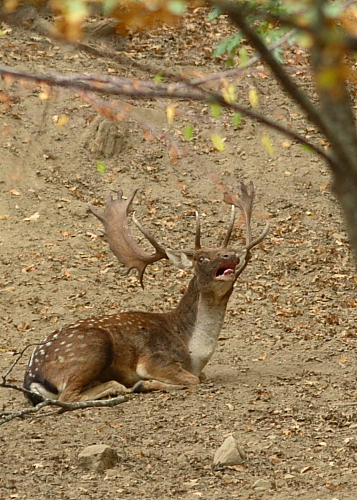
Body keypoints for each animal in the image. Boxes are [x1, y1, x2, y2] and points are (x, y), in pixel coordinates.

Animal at [23, 182, 268, 404]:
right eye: (201, 258)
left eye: (226, 251)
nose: (231, 255)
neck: (194, 353)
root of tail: (32, 378)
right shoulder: (155, 360)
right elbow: (193, 380)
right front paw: (146, 383)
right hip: (94, 346)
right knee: (69, 395)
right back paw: (125, 386)